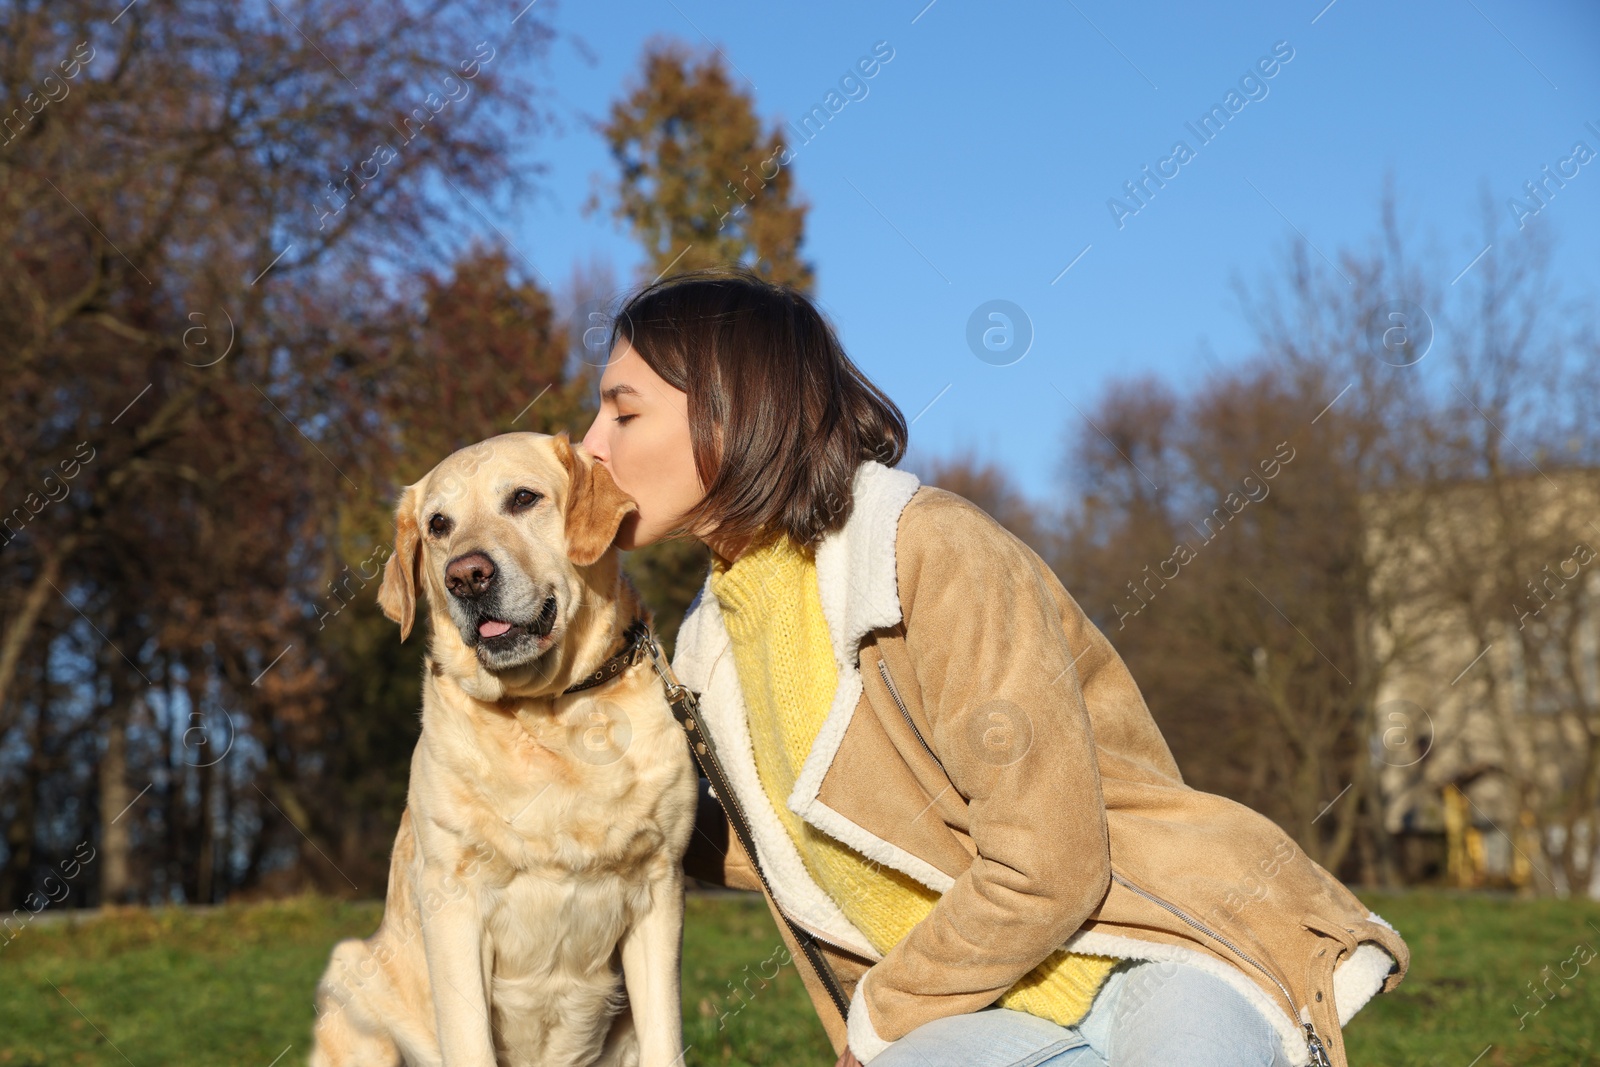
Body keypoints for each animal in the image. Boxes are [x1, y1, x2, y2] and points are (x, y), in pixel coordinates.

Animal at [312, 428, 700, 1067]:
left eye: (523, 498)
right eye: (438, 524)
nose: (466, 576)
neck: (545, 710)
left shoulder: (660, 889)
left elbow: (666, 1040)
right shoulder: (452, 900)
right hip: (354, 981)